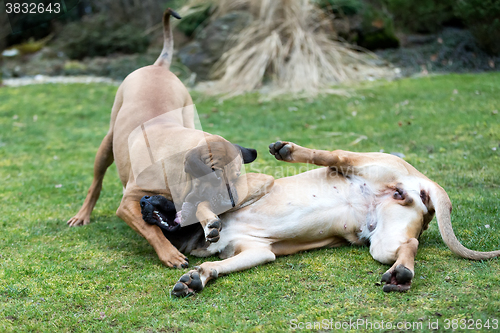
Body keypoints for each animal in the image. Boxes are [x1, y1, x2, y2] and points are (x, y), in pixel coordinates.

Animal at [68, 9, 256, 268]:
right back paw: (83, 214)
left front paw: (209, 224)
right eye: (216, 175)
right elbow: (152, 229)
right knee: (95, 184)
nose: (233, 203)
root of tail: (158, 66)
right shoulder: (128, 203)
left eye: (237, 175)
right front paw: (169, 253)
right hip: (107, 144)